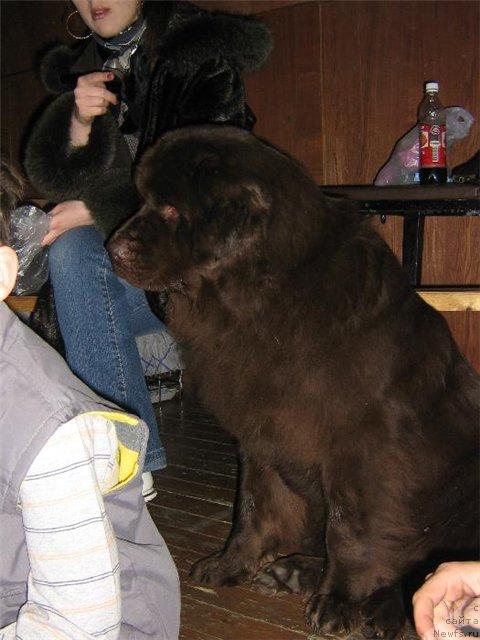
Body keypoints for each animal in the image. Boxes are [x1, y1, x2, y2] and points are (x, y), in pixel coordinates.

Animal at [107, 126, 478, 640]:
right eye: (143, 200)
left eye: (170, 209)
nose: (111, 248)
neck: (264, 301)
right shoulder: (262, 433)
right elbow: (254, 507)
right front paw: (231, 564)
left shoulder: (362, 450)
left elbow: (351, 532)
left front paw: (342, 601)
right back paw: (294, 571)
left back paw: (382, 610)